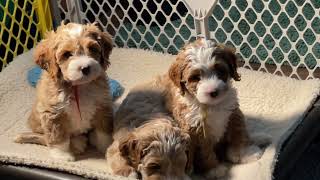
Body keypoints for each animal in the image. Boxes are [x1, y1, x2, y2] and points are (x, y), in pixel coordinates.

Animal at [15, 22, 115, 162]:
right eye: (67, 54)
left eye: (92, 48)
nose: (85, 68)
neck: (78, 86)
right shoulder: (53, 113)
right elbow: (57, 138)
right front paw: (62, 156)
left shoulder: (102, 104)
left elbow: (103, 130)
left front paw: (106, 147)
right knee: (46, 139)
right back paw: (77, 143)